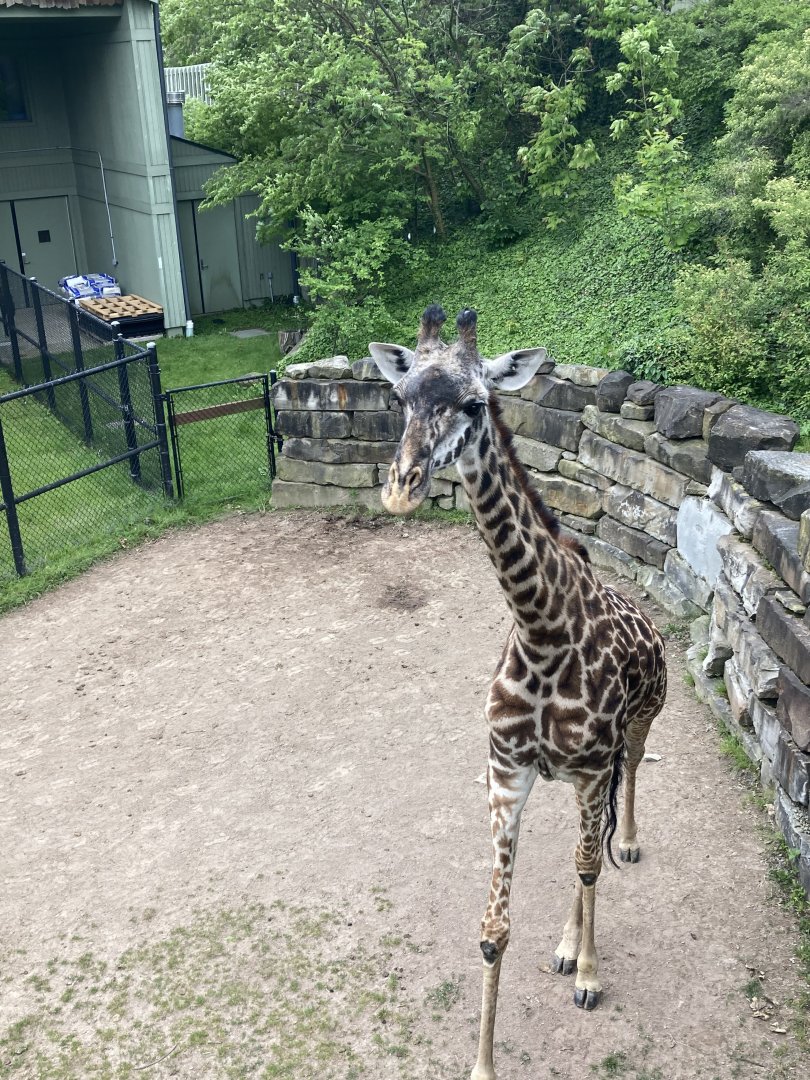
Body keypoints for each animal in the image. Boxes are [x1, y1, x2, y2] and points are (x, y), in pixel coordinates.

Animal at [369, 305, 667, 1080]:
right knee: (580, 849)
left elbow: (587, 865)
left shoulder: (589, 767)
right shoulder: (506, 775)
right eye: (401, 396)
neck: (542, 628)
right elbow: (492, 929)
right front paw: (483, 1062)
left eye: (475, 403)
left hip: (639, 723)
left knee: (608, 824)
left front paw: (590, 975)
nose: (401, 486)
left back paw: (620, 861)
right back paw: (564, 945)